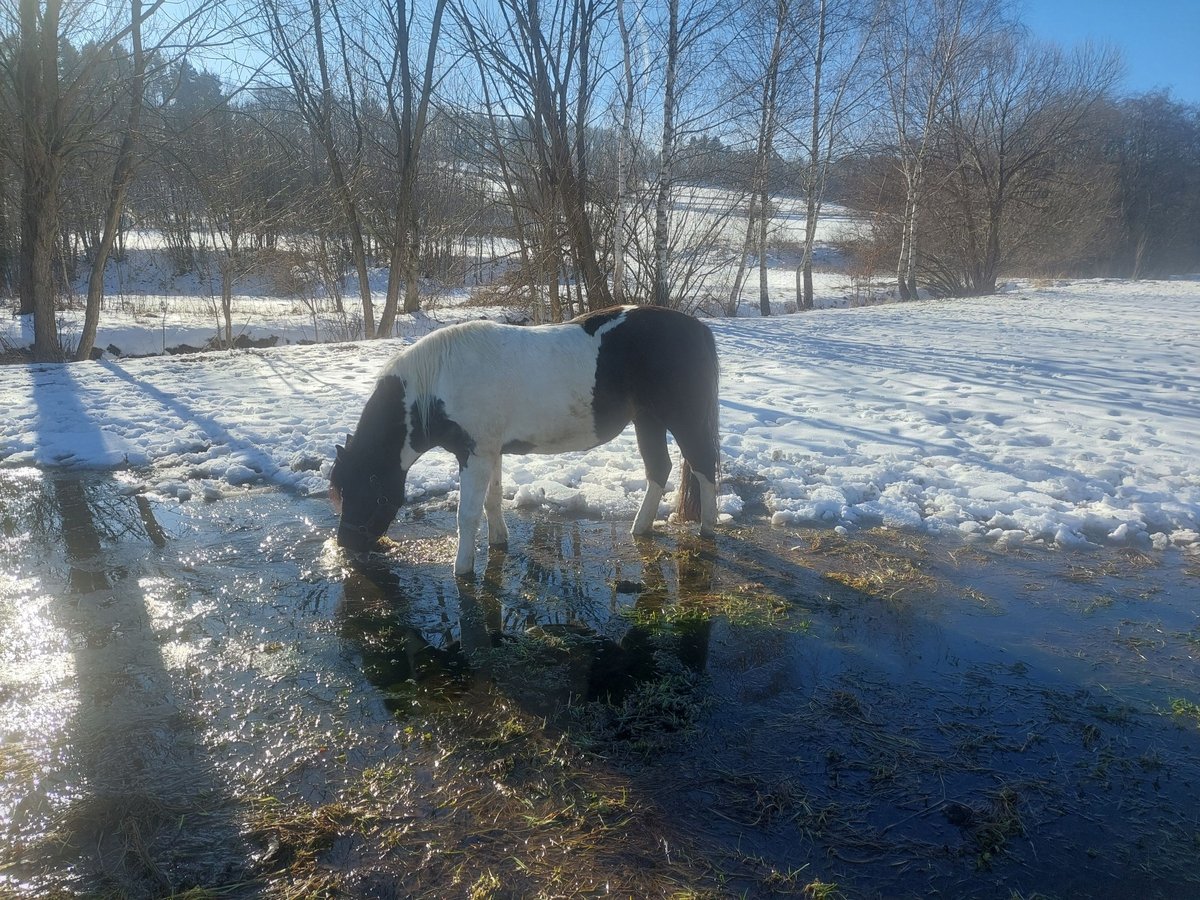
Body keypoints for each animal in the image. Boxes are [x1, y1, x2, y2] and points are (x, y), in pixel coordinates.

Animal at [328, 307, 715, 578]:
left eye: (364, 488)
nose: (346, 543)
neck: (438, 383)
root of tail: (697, 328)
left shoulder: (474, 455)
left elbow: (467, 514)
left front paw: (462, 568)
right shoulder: (491, 452)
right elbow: (492, 500)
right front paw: (498, 541)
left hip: (682, 419)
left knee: (704, 467)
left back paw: (707, 530)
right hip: (647, 420)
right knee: (659, 469)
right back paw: (640, 527)